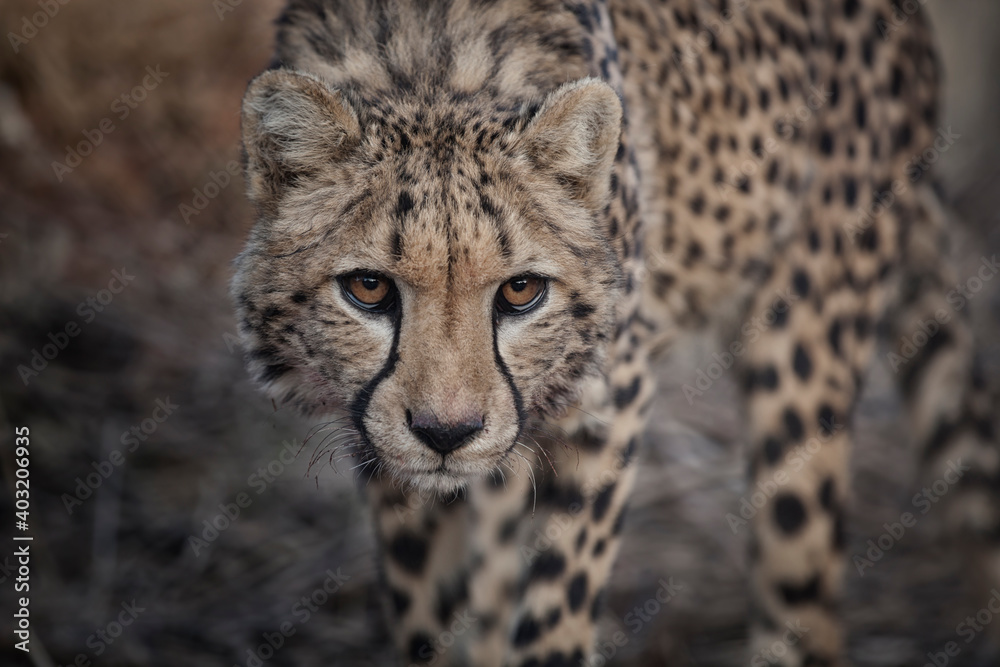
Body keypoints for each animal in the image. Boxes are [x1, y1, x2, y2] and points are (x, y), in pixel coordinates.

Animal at [230, 0, 1000, 664]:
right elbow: (431, 618)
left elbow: (558, 599)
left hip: (805, 337)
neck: (432, 72)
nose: (447, 433)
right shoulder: (393, 457)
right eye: (368, 287)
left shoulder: (608, 399)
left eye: (521, 291)